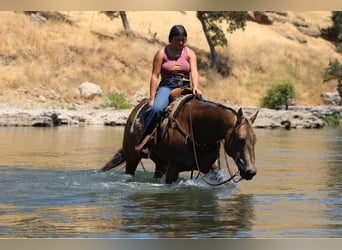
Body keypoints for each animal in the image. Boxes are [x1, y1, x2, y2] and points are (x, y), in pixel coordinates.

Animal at [100, 93, 258, 185]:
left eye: (255, 140)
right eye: (241, 139)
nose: (251, 172)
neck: (197, 129)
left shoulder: (212, 167)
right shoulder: (173, 169)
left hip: (160, 163)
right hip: (132, 158)